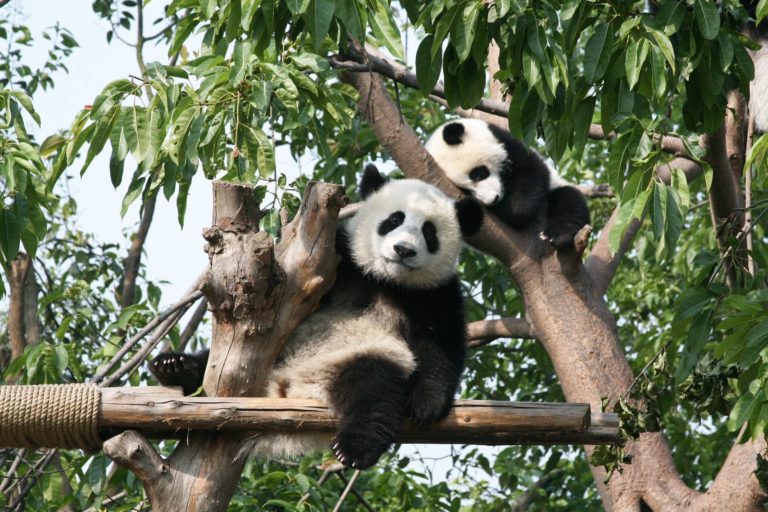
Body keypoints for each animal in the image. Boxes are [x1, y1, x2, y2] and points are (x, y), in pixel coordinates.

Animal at [149, 165, 484, 470]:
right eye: (394, 220)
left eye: (429, 232)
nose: (403, 250)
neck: (384, 279)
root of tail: (284, 389)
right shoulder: (342, 258)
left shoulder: (433, 294)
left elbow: (440, 345)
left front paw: (426, 404)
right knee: (210, 363)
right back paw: (176, 367)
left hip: (353, 358)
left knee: (373, 390)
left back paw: (356, 447)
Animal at [425, 118, 590, 249]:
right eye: (465, 190)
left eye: (477, 174)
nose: (493, 199)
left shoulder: (507, 143)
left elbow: (532, 173)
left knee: (570, 202)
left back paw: (557, 236)